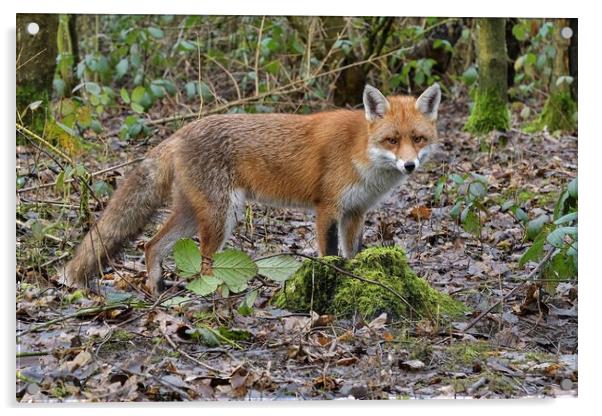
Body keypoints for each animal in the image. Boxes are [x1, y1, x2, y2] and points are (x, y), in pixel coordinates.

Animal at [62, 83, 440, 294]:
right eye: (392, 140)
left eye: (418, 139)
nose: (409, 165)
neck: (360, 150)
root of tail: (180, 132)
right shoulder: (327, 208)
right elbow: (330, 255)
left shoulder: (356, 212)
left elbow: (353, 253)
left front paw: (359, 278)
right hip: (222, 216)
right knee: (204, 264)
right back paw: (215, 295)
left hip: (193, 213)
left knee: (151, 244)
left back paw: (155, 288)